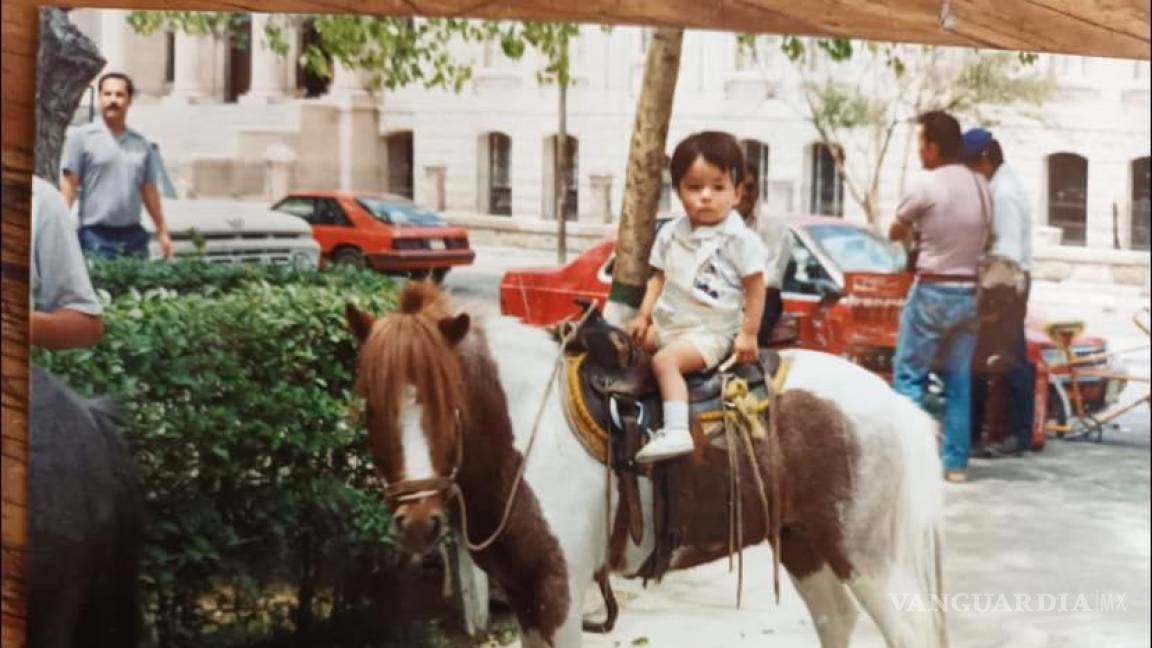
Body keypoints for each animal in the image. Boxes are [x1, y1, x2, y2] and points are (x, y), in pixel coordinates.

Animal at [345, 282, 949, 645]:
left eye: (449, 404)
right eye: (369, 404)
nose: (417, 523)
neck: (523, 434)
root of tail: (897, 405)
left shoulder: (559, 592)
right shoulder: (524, 594)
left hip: (867, 557)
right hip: (802, 540)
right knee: (835, 620)